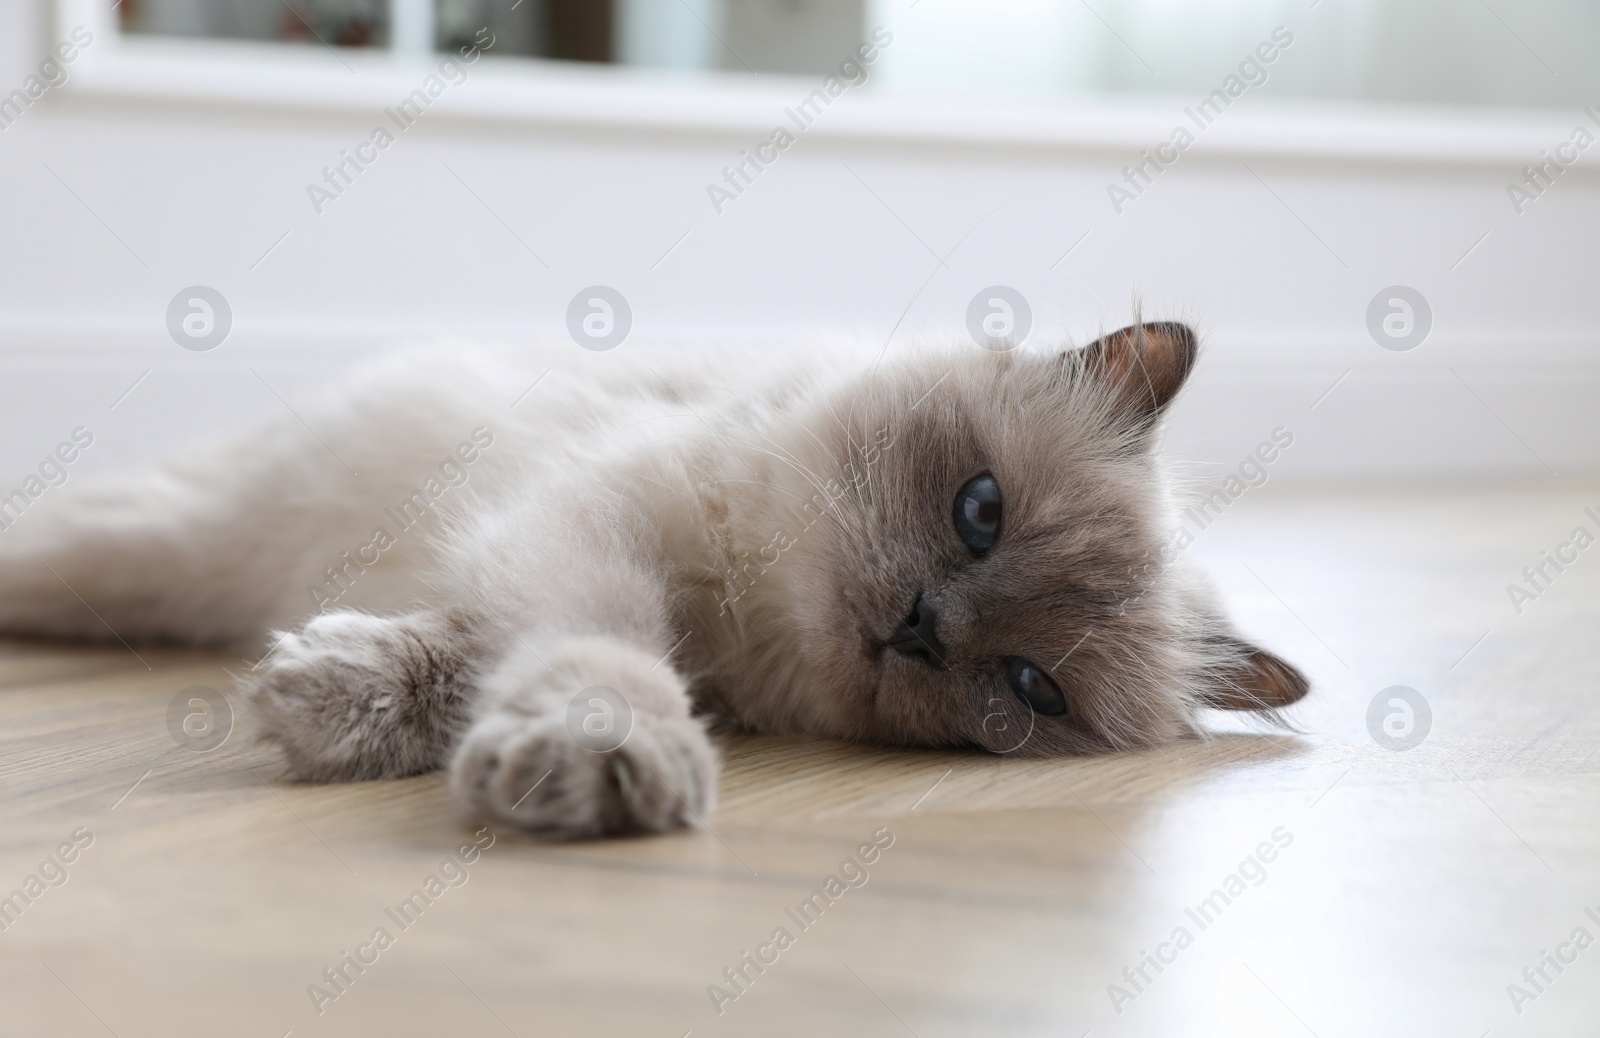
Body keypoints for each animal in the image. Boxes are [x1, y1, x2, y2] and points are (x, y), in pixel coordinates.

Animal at [0, 321, 1299, 831]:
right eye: (979, 513)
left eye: (1032, 689)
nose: (919, 627)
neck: (748, 620)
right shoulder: (587, 527)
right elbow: (600, 657)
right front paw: (603, 757)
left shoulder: (535, 557)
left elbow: (461, 665)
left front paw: (328, 699)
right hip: (158, 547)